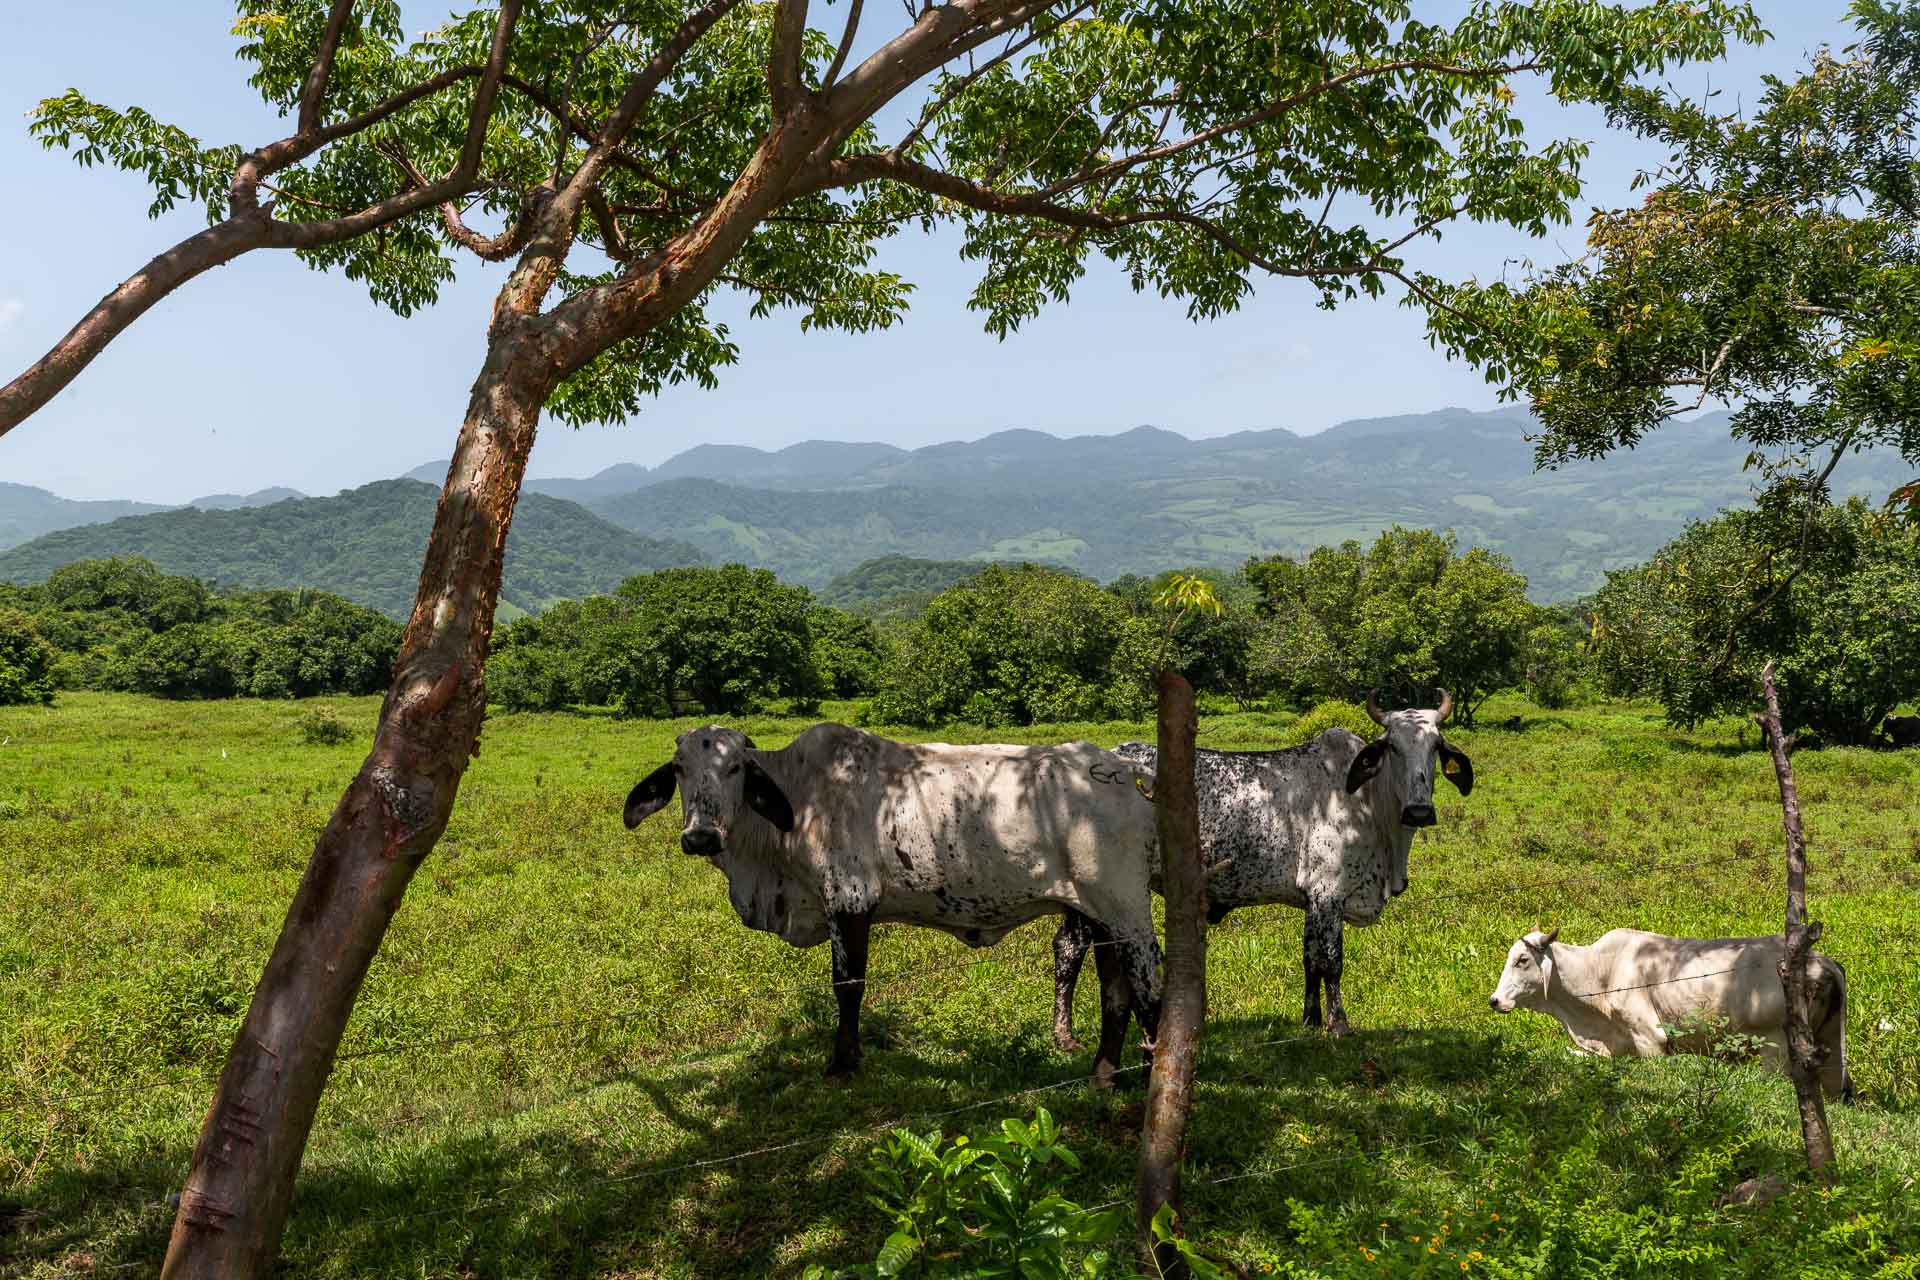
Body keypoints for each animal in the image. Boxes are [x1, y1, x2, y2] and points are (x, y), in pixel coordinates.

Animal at [622, 725, 1159, 1090]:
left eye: (735, 768)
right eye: (679, 769)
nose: (700, 836)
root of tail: (1123, 768)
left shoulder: (848, 900)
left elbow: (848, 987)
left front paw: (843, 1063)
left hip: (1128, 909)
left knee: (1150, 991)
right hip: (1098, 914)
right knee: (1116, 993)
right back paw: (1103, 1076)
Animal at [1052, 690, 1466, 1043]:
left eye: (1436, 746)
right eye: (1392, 746)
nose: (1419, 810)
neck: (1369, 802)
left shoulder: (1313, 899)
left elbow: (1310, 959)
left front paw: (1310, 1019)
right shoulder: (1329, 892)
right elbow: (1331, 962)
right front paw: (1338, 1024)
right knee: (1069, 948)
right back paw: (1064, 1036)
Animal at [1489, 932, 1850, 1105]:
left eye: (1522, 960)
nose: (1495, 1000)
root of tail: (1823, 961)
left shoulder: (1650, 1039)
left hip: (1774, 1046)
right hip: (1830, 1044)